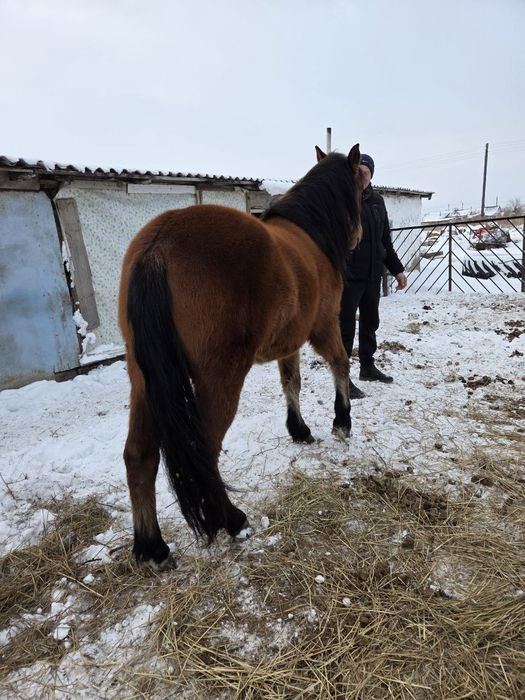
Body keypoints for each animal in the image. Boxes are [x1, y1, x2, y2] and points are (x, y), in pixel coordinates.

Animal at [118, 144, 363, 567]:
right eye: (363, 189)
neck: (309, 238)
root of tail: (158, 247)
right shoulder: (323, 327)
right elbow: (340, 363)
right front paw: (341, 422)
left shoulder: (289, 343)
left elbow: (291, 381)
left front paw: (299, 430)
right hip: (220, 378)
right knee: (205, 452)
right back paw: (233, 521)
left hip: (143, 381)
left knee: (139, 456)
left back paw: (153, 548)